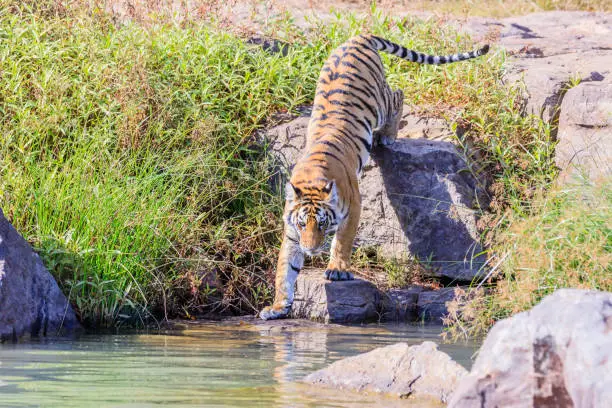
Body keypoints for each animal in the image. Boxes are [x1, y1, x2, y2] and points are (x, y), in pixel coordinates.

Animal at [258, 35, 488, 320]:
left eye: (322, 224)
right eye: (302, 225)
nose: (310, 249)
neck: (312, 179)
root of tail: (356, 37)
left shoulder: (354, 207)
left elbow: (342, 241)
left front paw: (337, 269)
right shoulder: (291, 232)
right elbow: (284, 271)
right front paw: (278, 306)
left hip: (379, 102)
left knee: (398, 94)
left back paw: (387, 135)